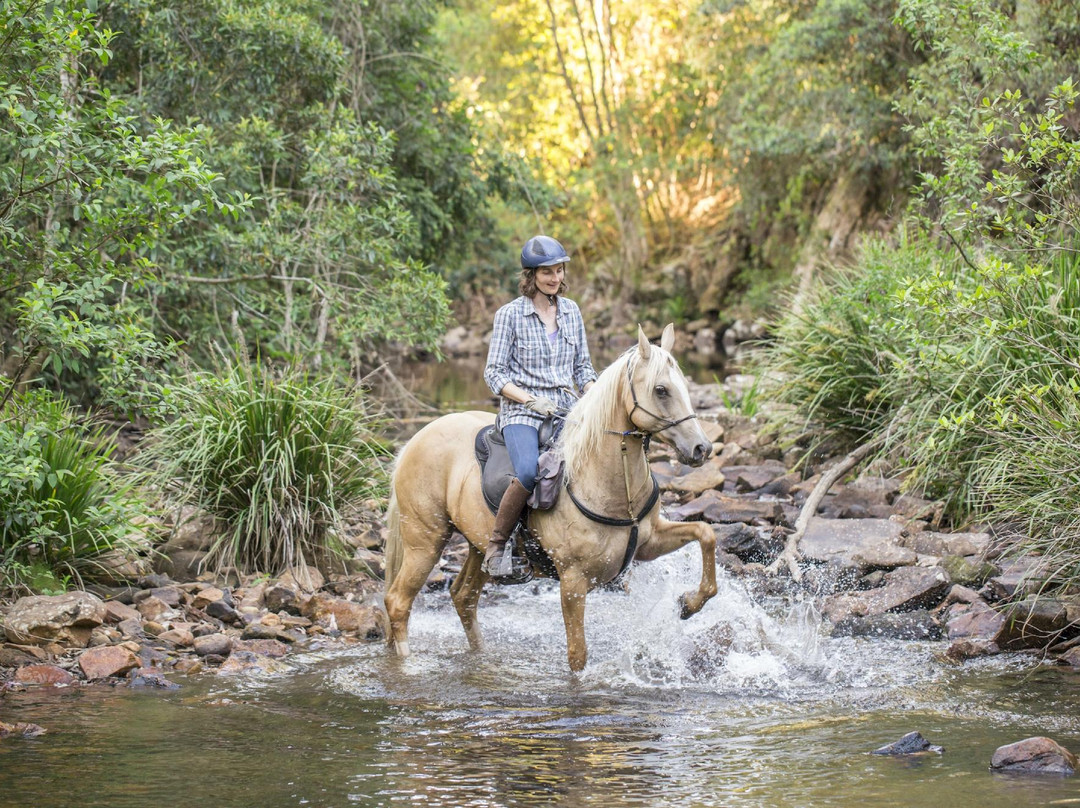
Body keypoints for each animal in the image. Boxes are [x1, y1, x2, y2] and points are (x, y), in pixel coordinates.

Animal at [383, 324, 718, 672]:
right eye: (661, 390)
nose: (702, 448)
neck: (605, 483)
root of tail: (413, 441)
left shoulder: (649, 543)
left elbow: (705, 533)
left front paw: (689, 603)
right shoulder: (573, 582)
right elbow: (577, 656)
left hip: (478, 545)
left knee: (464, 597)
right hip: (425, 541)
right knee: (398, 602)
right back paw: (406, 665)